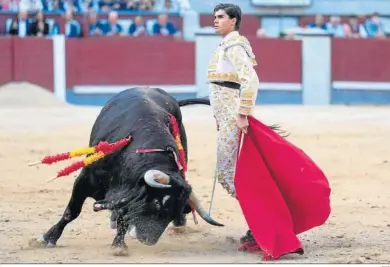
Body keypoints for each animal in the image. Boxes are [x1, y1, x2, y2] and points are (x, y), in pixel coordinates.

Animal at [28, 87, 222, 256]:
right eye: (157, 202)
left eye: (175, 211)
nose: (147, 240)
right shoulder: (84, 180)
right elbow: (72, 212)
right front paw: (47, 238)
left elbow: (124, 214)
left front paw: (118, 245)